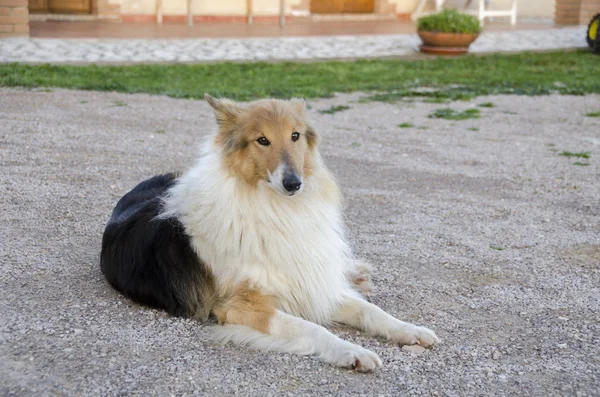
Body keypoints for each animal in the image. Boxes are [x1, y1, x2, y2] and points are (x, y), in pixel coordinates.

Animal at [101, 94, 440, 370]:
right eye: (262, 140)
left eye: (295, 136)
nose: (293, 183)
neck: (276, 208)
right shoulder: (241, 307)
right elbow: (312, 328)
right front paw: (351, 352)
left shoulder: (312, 282)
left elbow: (370, 311)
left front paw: (410, 330)